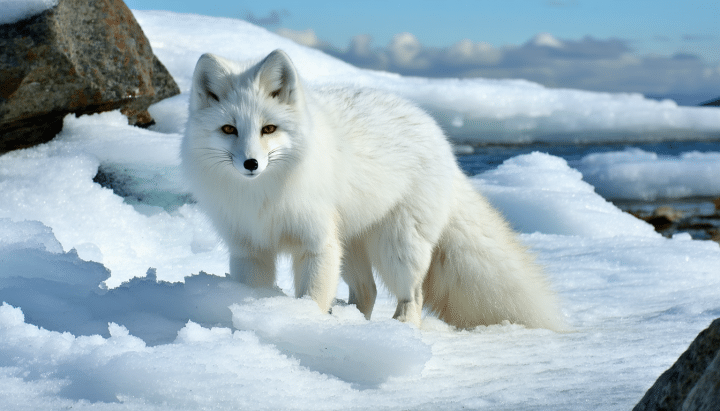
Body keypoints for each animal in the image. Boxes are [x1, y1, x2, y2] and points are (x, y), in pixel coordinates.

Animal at [181, 49, 565, 330]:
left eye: (269, 129)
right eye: (228, 129)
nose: (251, 164)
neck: (262, 197)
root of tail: (437, 133)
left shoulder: (317, 244)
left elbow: (313, 297)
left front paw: (305, 324)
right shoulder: (250, 250)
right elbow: (256, 290)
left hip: (396, 247)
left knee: (413, 296)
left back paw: (400, 331)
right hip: (351, 247)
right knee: (368, 292)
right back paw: (353, 324)